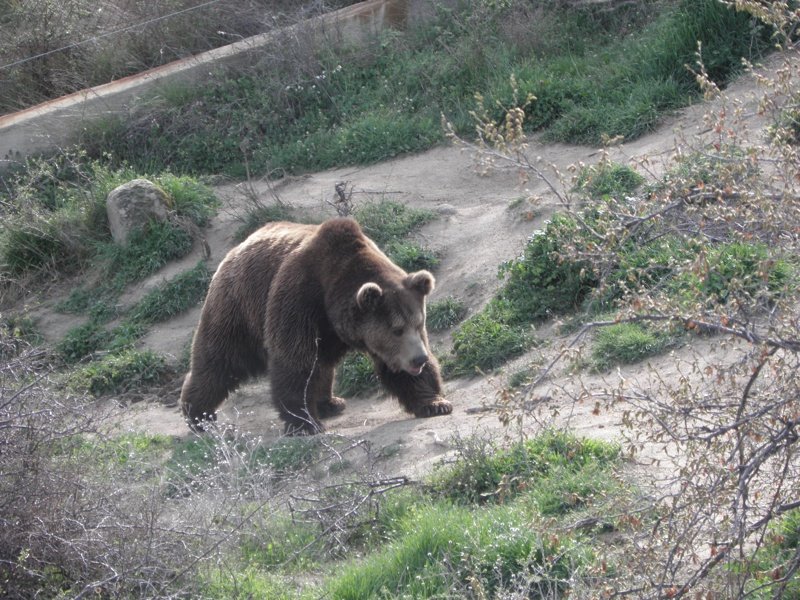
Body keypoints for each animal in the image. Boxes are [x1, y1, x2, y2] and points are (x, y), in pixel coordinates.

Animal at [180, 218, 450, 434]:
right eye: (397, 329)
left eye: (418, 323)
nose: (419, 359)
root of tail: (236, 248)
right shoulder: (299, 300)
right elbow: (294, 361)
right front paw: (305, 423)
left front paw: (435, 403)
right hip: (239, 308)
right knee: (220, 360)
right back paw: (199, 415)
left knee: (322, 364)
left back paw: (330, 403)